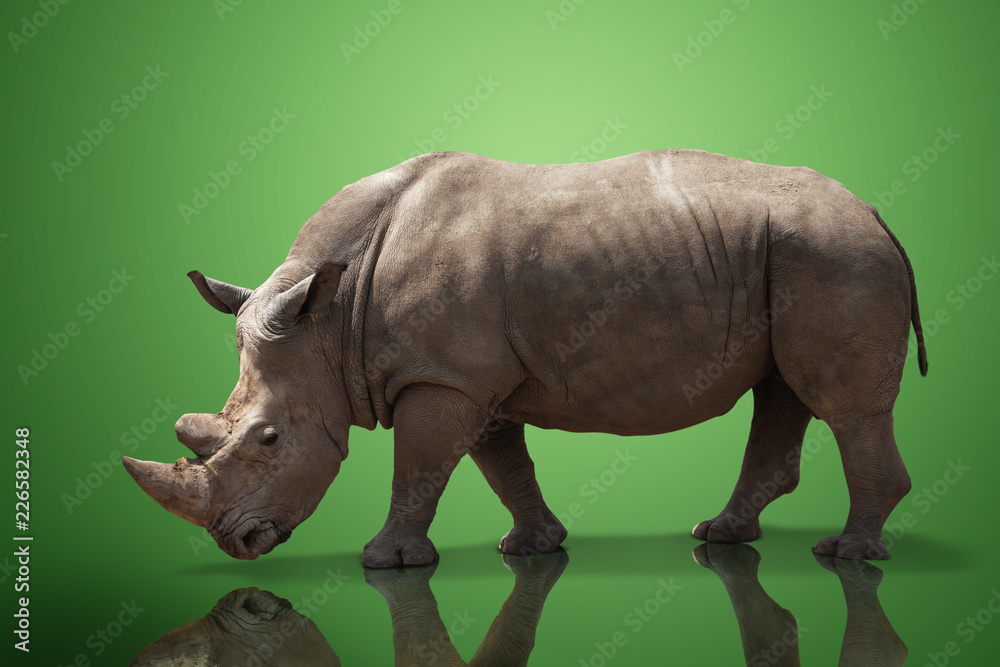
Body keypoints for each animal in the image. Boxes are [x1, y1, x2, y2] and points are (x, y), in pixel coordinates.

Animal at [123, 149, 927, 565]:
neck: (325, 320)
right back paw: (722, 536)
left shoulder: (441, 376)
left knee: (844, 407)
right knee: (783, 390)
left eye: (268, 439)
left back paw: (846, 553)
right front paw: (532, 548)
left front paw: (385, 560)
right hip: (794, 255)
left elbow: (420, 466)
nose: (235, 542)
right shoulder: (470, 376)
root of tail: (878, 213)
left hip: (833, 254)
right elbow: (501, 463)